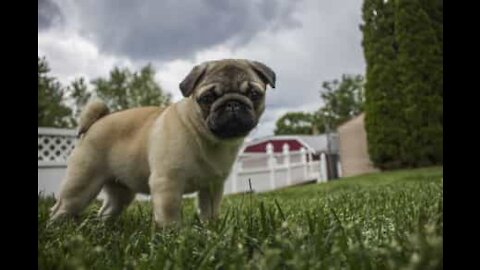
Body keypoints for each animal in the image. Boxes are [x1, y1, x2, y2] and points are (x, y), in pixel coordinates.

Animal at [50, 59, 276, 228]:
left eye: (254, 94)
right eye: (207, 98)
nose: (232, 104)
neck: (205, 136)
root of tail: (96, 122)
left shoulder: (212, 186)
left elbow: (209, 211)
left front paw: (211, 229)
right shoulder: (168, 182)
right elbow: (169, 213)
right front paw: (171, 235)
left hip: (121, 192)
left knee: (107, 210)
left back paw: (103, 228)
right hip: (81, 184)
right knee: (61, 207)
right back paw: (57, 228)